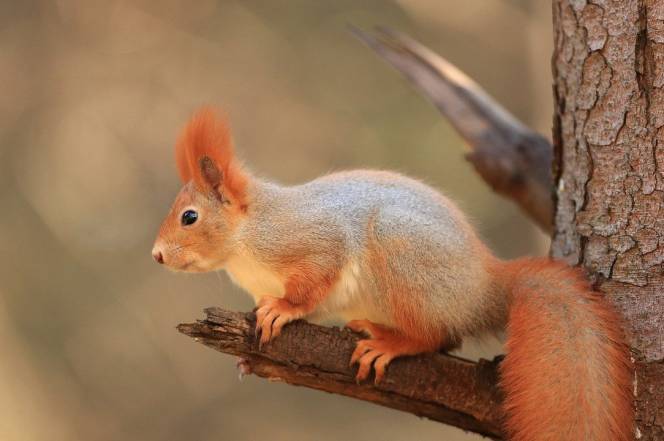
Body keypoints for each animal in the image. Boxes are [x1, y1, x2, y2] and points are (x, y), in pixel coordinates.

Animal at [154, 107, 632, 440]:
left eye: (190, 217)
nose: (156, 255)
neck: (249, 237)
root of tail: (487, 284)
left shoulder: (315, 242)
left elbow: (312, 283)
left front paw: (283, 309)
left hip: (402, 254)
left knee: (436, 336)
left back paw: (390, 342)